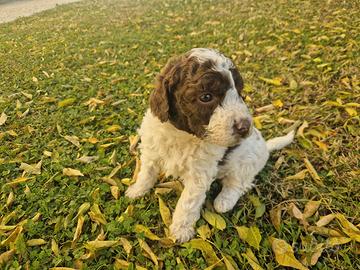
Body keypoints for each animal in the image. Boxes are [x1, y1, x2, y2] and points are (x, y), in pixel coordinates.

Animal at [125, 47, 294, 243]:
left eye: (240, 93)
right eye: (206, 97)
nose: (246, 127)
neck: (182, 136)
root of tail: (266, 146)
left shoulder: (199, 174)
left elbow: (188, 202)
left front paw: (181, 230)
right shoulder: (152, 151)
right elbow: (146, 173)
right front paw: (137, 190)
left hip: (246, 161)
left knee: (239, 183)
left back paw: (224, 201)